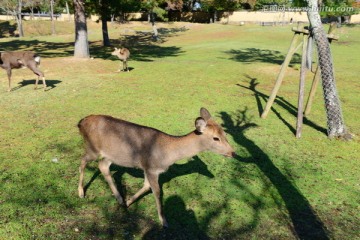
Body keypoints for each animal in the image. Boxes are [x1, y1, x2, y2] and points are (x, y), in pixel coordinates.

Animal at [77, 107, 235, 227]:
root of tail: (81, 122)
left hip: (111, 155)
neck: (167, 155)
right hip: (92, 148)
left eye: (225, 133)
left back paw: (120, 199)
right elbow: (157, 192)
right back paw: (81, 192)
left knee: (103, 166)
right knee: (83, 160)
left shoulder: (149, 170)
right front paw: (164, 221)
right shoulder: (150, 167)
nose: (233, 152)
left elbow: (147, 186)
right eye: (216, 138)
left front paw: (128, 202)